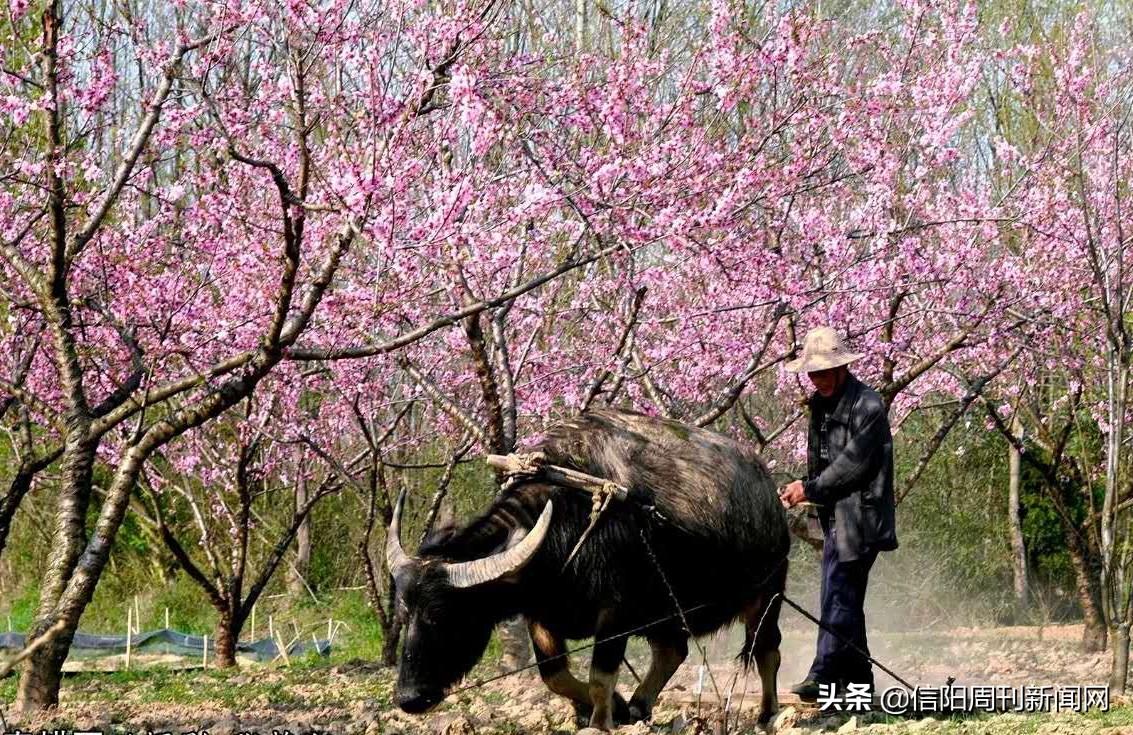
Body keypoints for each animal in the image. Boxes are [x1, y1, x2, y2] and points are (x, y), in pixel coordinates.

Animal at [387, 407, 788, 729]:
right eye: (405, 615)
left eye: (444, 617)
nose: (409, 698)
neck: (570, 519)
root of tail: (771, 495)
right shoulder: (541, 616)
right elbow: (554, 676)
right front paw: (617, 707)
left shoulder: (615, 615)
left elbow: (599, 677)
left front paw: (600, 720)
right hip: (667, 612)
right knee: (673, 651)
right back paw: (639, 706)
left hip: (766, 596)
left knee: (767, 651)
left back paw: (767, 714)